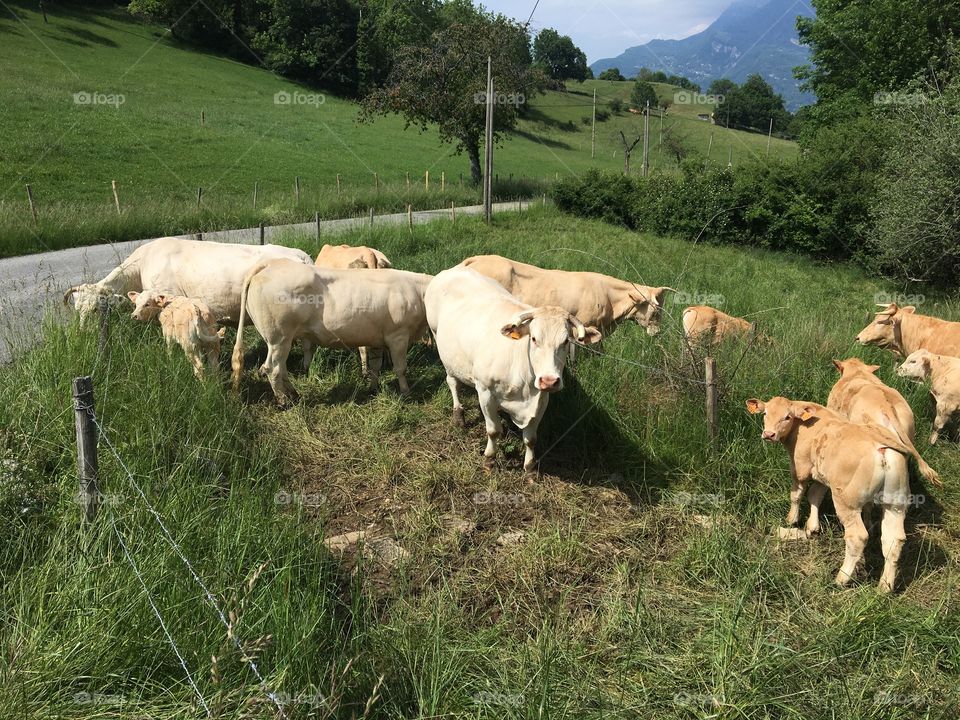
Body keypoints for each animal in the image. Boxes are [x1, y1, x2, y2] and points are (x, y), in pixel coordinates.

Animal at [231, 259, 432, 402]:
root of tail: (270, 264)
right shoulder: (398, 336)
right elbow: (401, 368)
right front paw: (406, 392)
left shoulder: (377, 339)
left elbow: (375, 367)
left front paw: (373, 389)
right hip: (279, 338)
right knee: (272, 369)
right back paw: (283, 401)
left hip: (279, 341)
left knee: (281, 367)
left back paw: (293, 394)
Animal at [425, 266, 602, 476]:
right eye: (533, 338)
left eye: (566, 341)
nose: (549, 381)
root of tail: (455, 269)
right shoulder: (485, 391)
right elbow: (493, 430)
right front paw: (489, 459)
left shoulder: (541, 399)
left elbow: (531, 439)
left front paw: (530, 467)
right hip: (440, 343)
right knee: (452, 382)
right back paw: (458, 414)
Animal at [746, 396, 914, 592]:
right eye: (765, 413)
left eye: (787, 417)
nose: (769, 434)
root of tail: (882, 446)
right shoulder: (821, 474)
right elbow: (815, 496)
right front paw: (812, 527)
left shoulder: (800, 468)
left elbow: (797, 495)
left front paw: (792, 519)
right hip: (895, 504)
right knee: (893, 541)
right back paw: (884, 586)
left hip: (847, 502)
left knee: (857, 537)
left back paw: (841, 578)